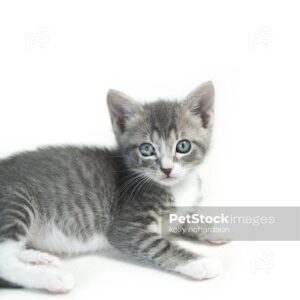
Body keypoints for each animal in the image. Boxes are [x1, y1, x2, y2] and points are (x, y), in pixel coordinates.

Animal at [0, 81, 220, 292]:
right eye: (146, 149)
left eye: (183, 146)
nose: (167, 169)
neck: (178, 186)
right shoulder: (125, 227)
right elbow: (159, 246)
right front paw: (201, 263)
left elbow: (187, 218)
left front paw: (213, 228)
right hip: (16, 199)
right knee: (4, 260)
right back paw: (52, 277)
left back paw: (37, 257)